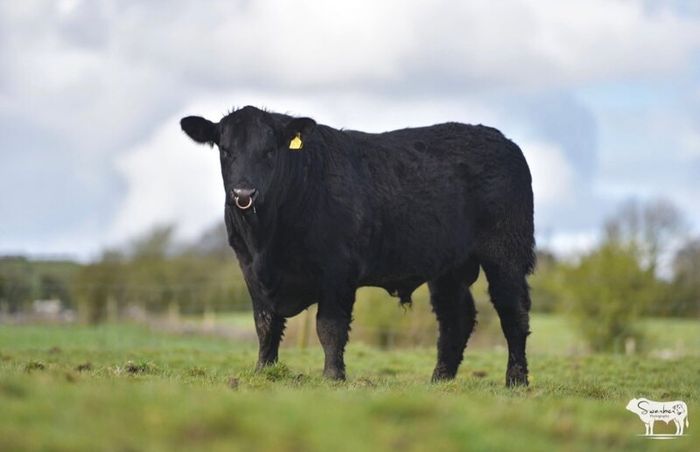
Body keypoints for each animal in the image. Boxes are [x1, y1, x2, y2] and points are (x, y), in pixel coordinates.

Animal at [180, 106, 535, 386]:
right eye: (226, 150)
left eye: (269, 151)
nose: (244, 193)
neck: (267, 240)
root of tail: (502, 141)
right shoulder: (250, 269)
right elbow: (265, 324)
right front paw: (263, 371)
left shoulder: (337, 270)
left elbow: (329, 327)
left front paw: (333, 377)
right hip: (448, 267)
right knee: (455, 318)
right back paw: (440, 380)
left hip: (506, 252)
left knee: (513, 312)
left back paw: (516, 380)